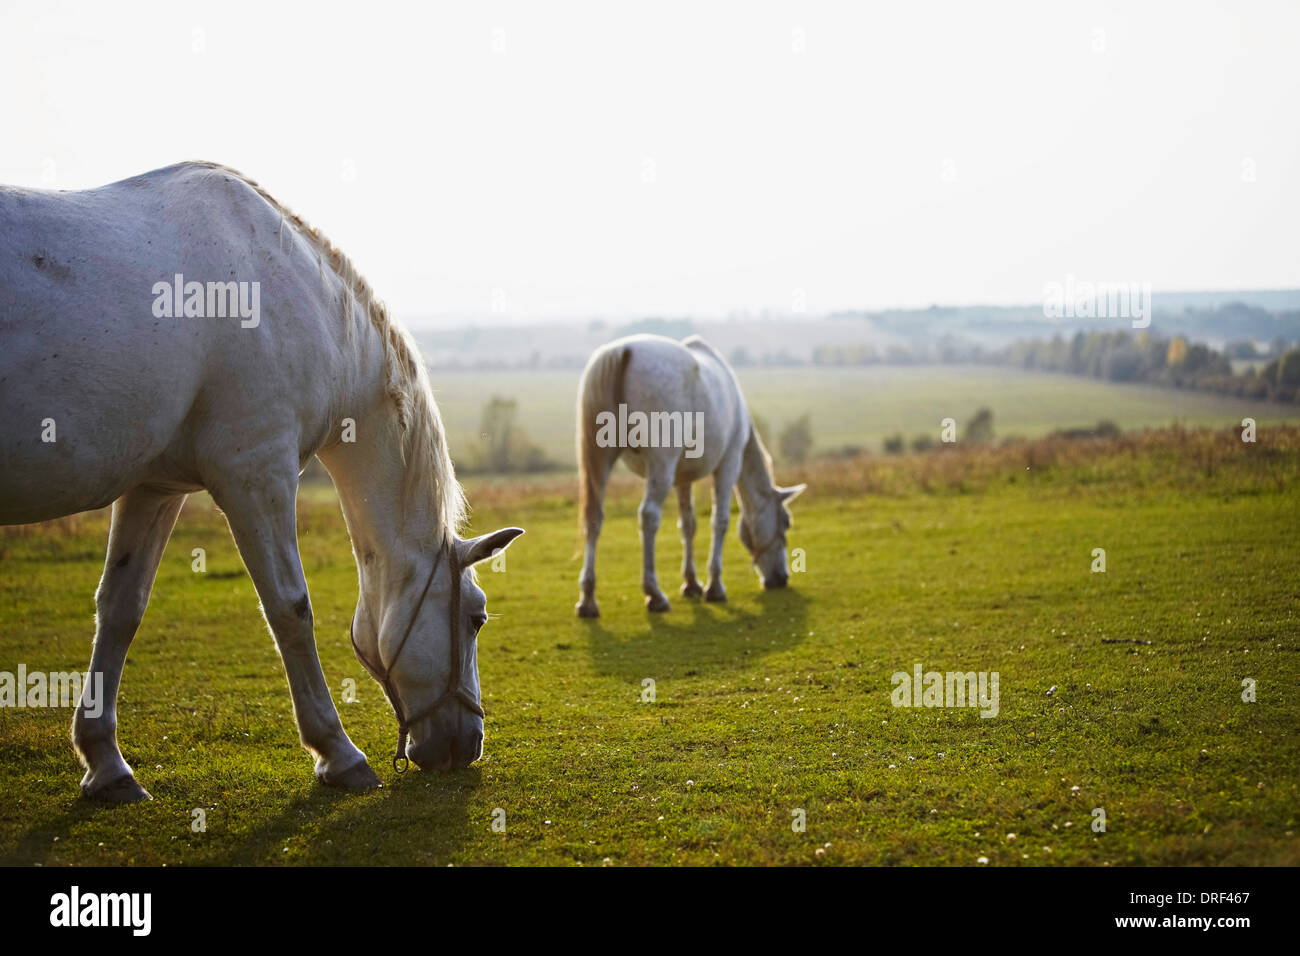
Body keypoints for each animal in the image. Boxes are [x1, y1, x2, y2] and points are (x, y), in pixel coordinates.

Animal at [0, 161, 523, 802]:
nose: (468, 745)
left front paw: (105, 763)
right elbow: (290, 610)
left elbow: (120, 610)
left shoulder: (154, 489)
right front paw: (338, 753)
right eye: (476, 617)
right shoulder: (257, 477)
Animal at [575, 333, 805, 617]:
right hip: (661, 465)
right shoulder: (729, 464)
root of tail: (622, 350)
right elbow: (720, 521)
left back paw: (588, 599)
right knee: (648, 516)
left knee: (593, 518)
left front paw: (692, 583)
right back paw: (654, 594)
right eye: (786, 522)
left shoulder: (682, 479)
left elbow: (688, 524)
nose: (781, 578)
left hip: (599, 462)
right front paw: (714, 586)